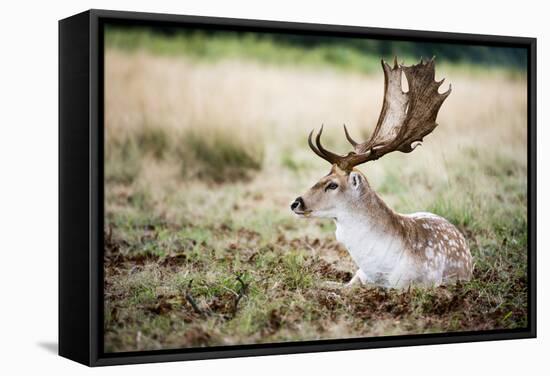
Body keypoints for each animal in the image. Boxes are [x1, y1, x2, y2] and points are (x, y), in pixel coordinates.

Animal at [292, 58, 476, 288]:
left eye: (332, 184)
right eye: (322, 176)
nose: (296, 203)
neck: (382, 271)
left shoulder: (419, 283)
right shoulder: (359, 275)